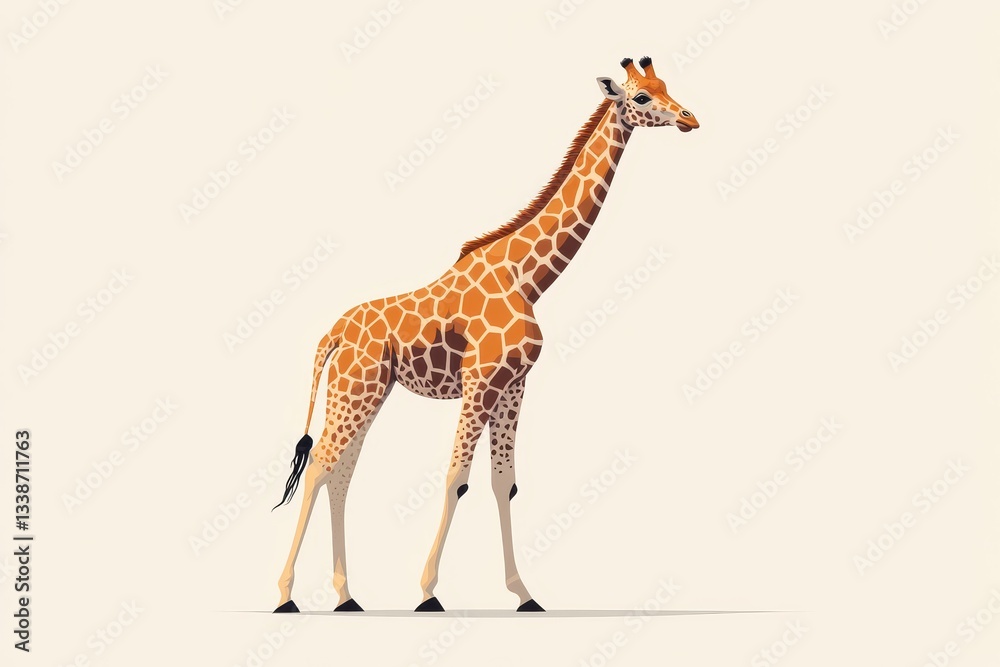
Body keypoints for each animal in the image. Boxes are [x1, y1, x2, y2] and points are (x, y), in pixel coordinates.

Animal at [271, 56, 698, 614]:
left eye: (666, 85)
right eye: (642, 97)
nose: (691, 118)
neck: (527, 278)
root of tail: (332, 335)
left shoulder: (513, 385)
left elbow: (504, 482)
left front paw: (523, 593)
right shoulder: (480, 381)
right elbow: (457, 479)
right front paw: (428, 591)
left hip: (367, 390)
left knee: (341, 472)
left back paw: (346, 595)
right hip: (355, 389)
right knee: (321, 466)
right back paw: (286, 594)